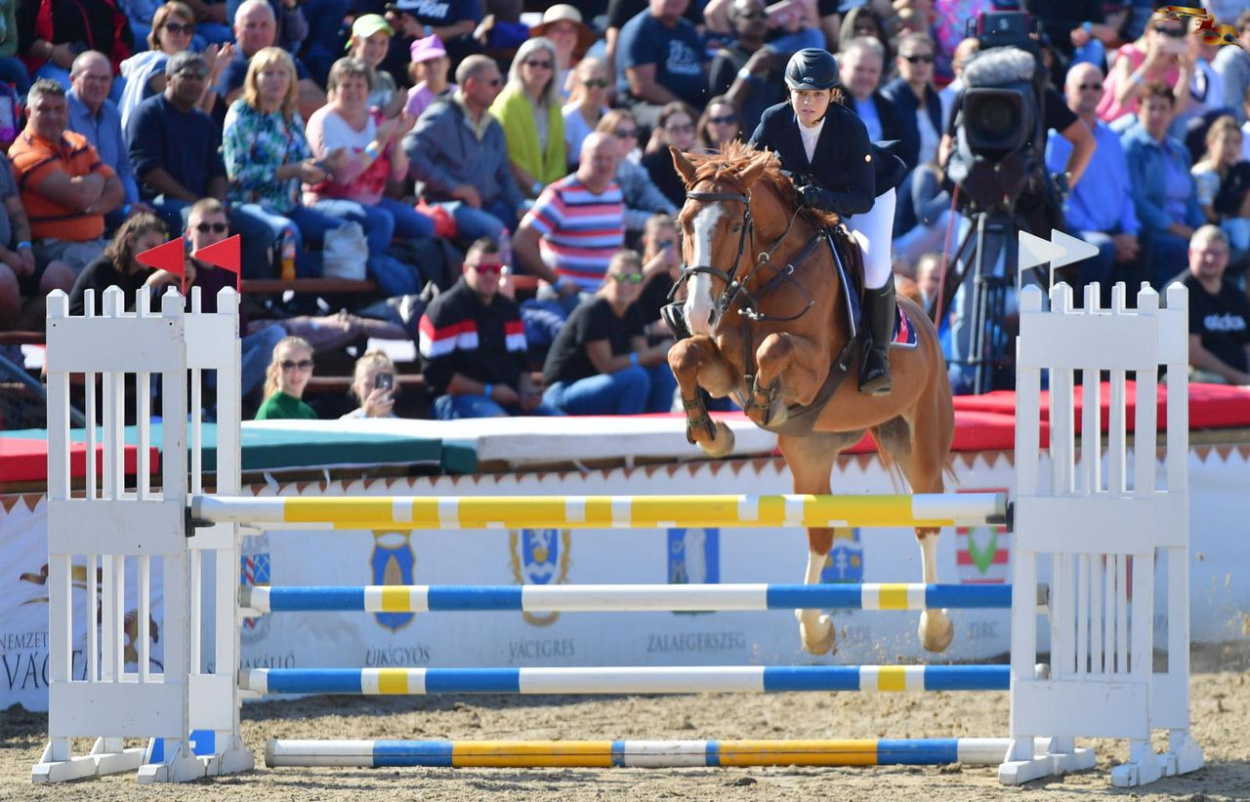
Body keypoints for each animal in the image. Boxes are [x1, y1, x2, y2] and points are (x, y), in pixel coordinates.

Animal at [665, 142, 955, 654]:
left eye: (736, 226)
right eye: (684, 223)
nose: (698, 312)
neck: (765, 279)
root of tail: (921, 310)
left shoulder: (813, 368)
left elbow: (774, 347)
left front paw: (764, 404)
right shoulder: (723, 367)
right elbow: (683, 354)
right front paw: (713, 434)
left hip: (919, 438)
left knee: (927, 518)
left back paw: (935, 627)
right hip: (811, 452)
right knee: (820, 534)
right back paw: (815, 628)